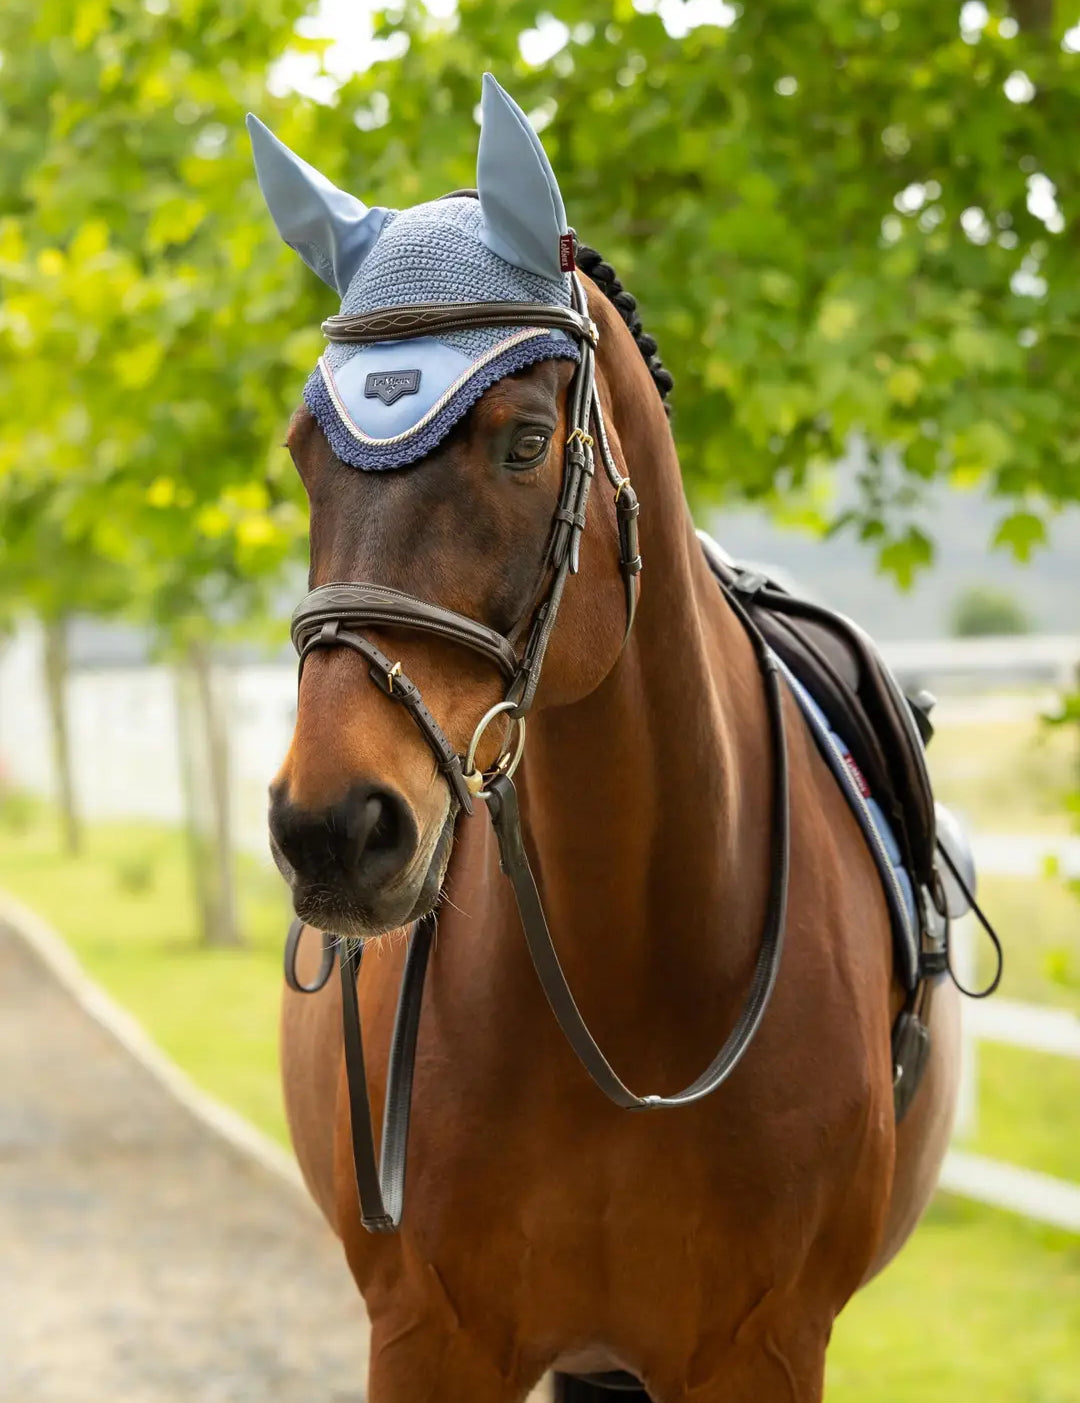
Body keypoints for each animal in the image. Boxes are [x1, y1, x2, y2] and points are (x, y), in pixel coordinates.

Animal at [254, 76, 961, 1402]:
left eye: (525, 440)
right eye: (303, 454)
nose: (332, 828)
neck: (633, 985)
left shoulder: (764, 1349)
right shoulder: (427, 1338)